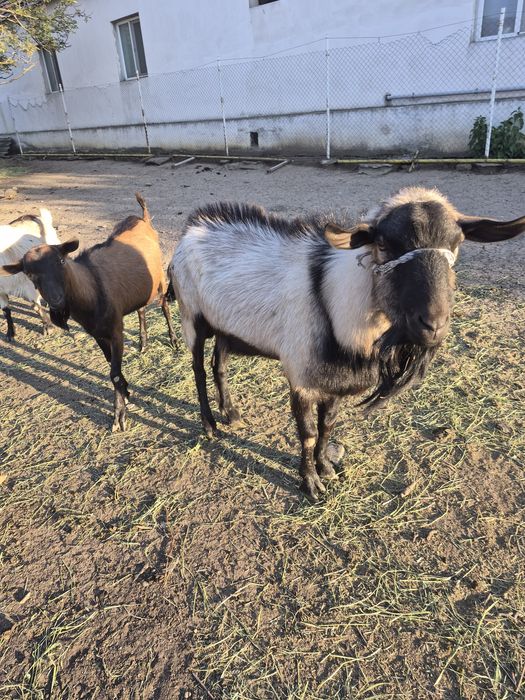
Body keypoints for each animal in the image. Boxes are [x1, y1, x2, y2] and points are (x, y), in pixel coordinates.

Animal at [168, 188, 525, 500]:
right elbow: (308, 434)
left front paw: (326, 468)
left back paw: (230, 412)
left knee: (219, 364)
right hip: (192, 318)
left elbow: (327, 426)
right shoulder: (301, 376)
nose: (432, 325)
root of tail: (191, 228)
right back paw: (210, 425)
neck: (332, 300)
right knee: (198, 369)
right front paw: (310, 484)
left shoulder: (335, 380)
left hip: (225, 327)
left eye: (457, 243)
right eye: (382, 242)